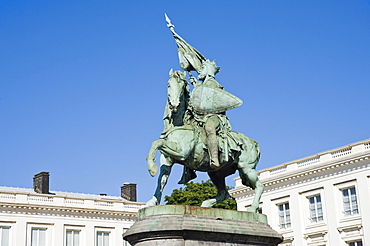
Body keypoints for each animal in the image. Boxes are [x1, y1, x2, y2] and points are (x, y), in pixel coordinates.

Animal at [145, 69, 264, 213]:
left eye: (181, 86)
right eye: (169, 84)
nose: (174, 105)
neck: (180, 125)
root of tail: (253, 142)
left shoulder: (181, 152)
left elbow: (157, 143)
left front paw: (151, 167)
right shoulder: (167, 159)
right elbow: (161, 179)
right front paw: (152, 201)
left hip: (247, 168)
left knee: (259, 186)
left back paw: (252, 208)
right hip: (216, 173)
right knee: (224, 193)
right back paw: (206, 204)